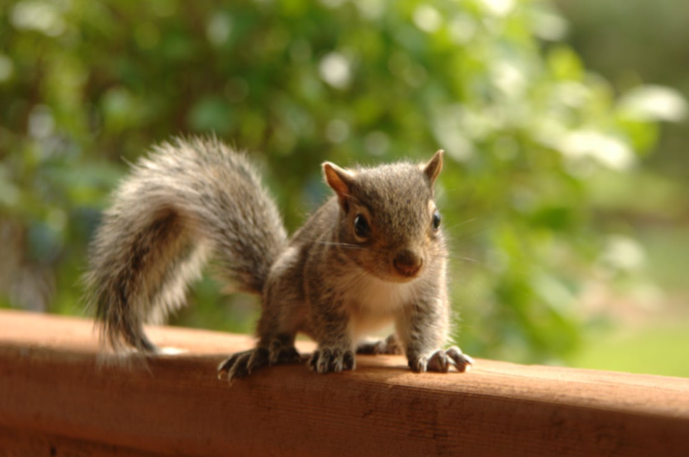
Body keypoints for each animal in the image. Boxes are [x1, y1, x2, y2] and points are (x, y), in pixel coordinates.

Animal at [84, 136, 473, 380]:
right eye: (360, 224)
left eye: (436, 220)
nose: (409, 263)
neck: (381, 281)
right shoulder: (321, 281)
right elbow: (331, 321)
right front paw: (334, 351)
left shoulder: (427, 290)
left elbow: (425, 325)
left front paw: (432, 355)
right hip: (285, 284)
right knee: (276, 330)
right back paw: (269, 351)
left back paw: (380, 344)